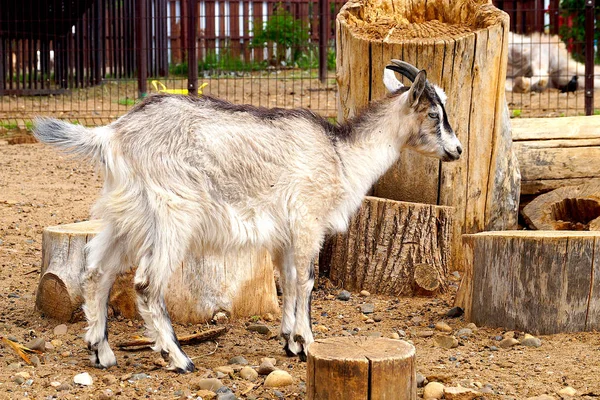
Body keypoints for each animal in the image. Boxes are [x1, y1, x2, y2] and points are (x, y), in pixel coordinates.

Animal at [34, 59, 464, 372]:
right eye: (433, 113)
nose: (458, 150)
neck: (341, 155)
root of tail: (113, 134)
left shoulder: (283, 234)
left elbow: (287, 281)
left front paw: (290, 342)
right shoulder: (307, 222)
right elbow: (306, 281)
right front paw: (307, 343)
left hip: (124, 215)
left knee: (96, 272)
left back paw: (101, 352)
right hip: (173, 214)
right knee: (145, 283)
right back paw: (178, 358)